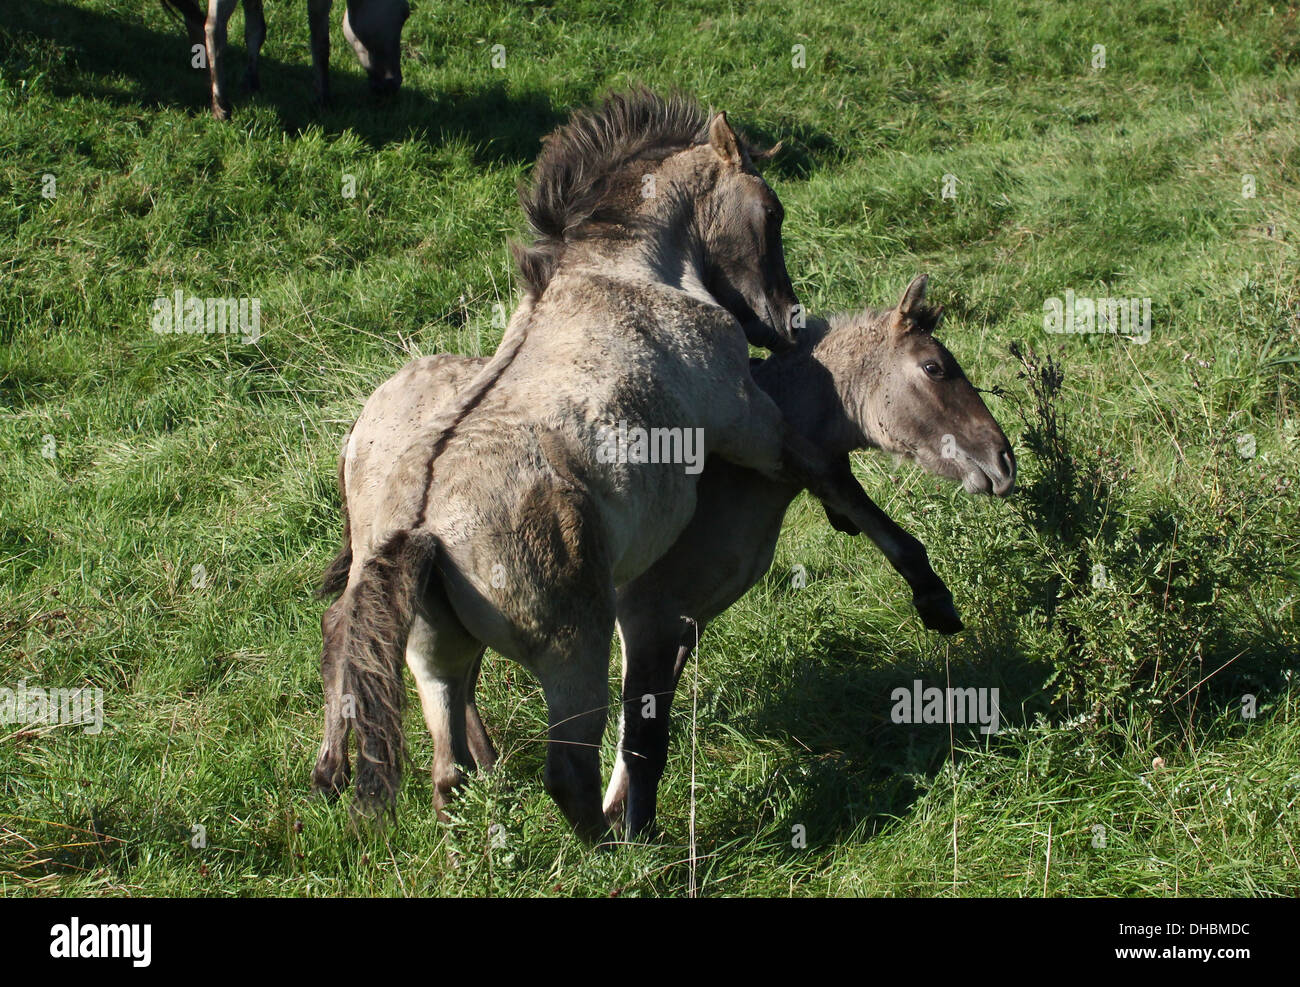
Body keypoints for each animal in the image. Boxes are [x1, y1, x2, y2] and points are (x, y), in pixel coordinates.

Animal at [160, 0, 409, 119]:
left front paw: (251, 82)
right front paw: (323, 98)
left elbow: (255, 30)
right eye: (405, 13)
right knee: (214, 31)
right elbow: (320, 42)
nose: (394, 83)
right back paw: (221, 106)